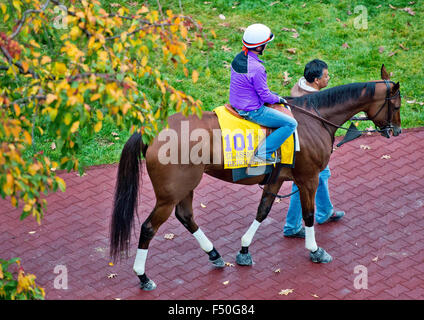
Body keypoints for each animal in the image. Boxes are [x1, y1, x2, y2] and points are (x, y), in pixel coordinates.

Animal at [109, 64, 400, 290]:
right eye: (396, 104)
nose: (396, 130)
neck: (314, 118)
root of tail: (152, 131)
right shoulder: (308, 178)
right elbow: (307, 214)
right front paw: (315, 250)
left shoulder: (277, 178)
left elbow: (263, 210)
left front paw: (244, 250)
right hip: (169, 194)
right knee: (149, 227)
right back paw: (143, 277)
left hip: (186, 186)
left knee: (186, 216)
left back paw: (214, 255)